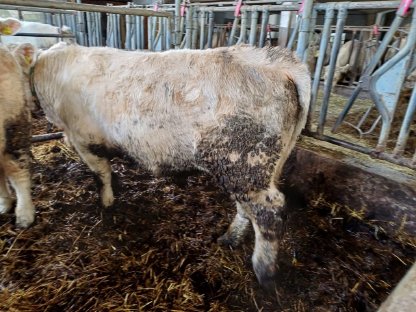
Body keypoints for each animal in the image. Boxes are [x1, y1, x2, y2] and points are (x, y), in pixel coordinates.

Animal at [30, 43, 310, 288]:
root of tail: (270, 61)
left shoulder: (84, 140)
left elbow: (101, 175)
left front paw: (107, 204)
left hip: (244, 161)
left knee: (269, 211)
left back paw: (264, 272)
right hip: (248, 169)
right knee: (248, 207)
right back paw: (229, 239)